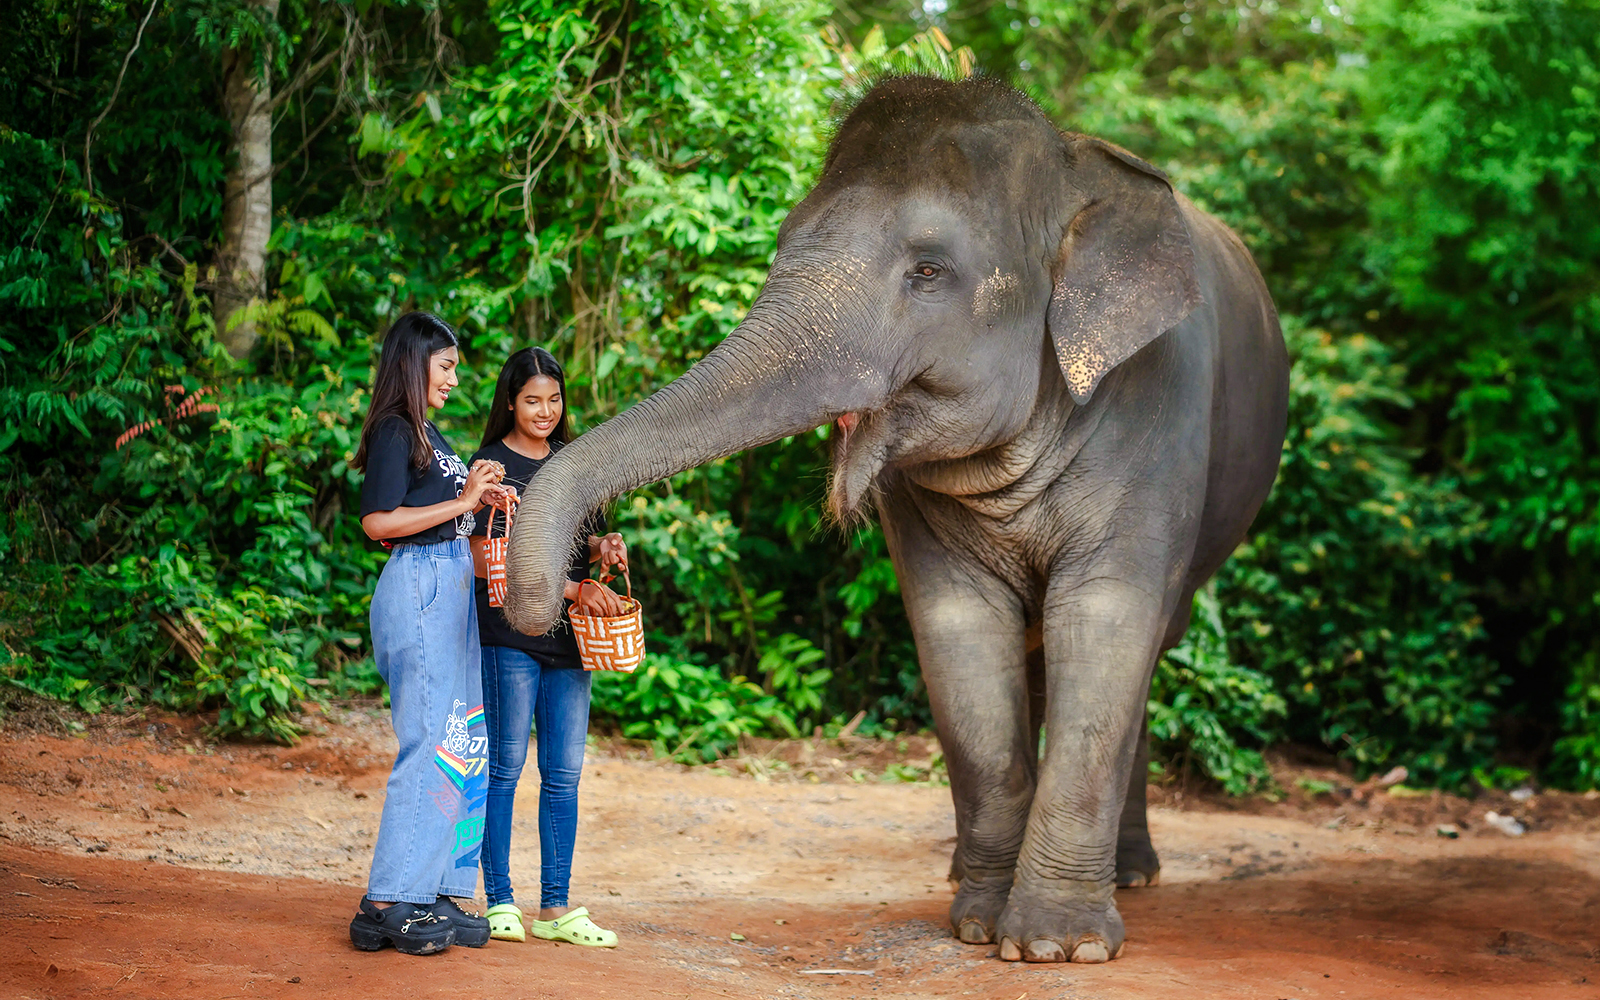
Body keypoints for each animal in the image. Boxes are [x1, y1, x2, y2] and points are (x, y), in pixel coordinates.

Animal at [503, 74, 1289, 964]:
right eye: (782, 243)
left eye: (929, 270)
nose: (543, 603)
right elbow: (958, 636)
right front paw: (978, 925)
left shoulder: (1160, 415)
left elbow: (1109, 623)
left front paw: (1058, 947)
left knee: (1145, 647)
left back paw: (1133, 877)